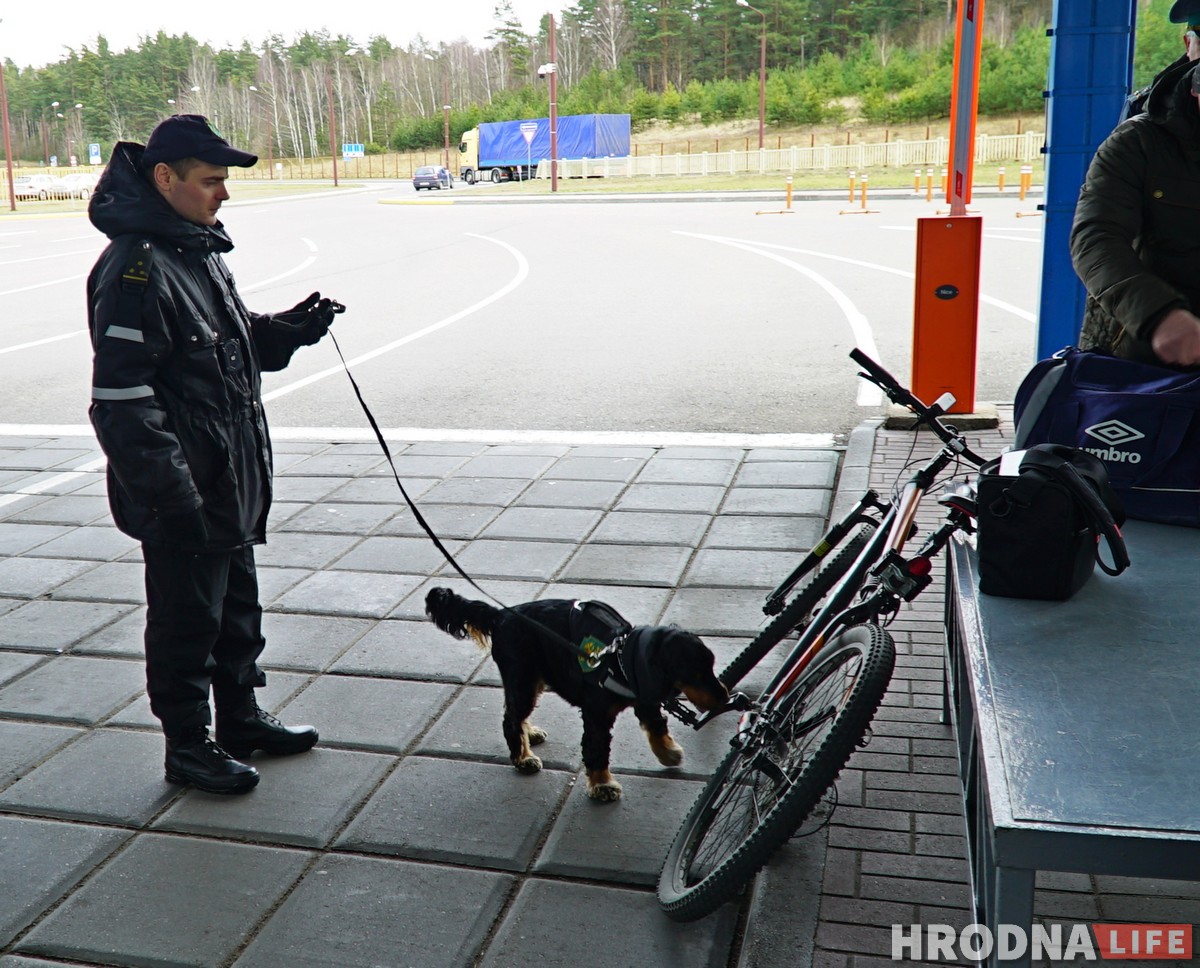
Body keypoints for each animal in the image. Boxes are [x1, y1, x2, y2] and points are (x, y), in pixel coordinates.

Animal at [427, 587, 724, 796]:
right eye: (696, 675)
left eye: (711, 667)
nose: (724, 698)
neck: (619, 657)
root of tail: (502, 615)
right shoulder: (596, 714)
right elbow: (597, 749)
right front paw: (603, 786)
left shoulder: (645, 697)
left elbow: (656, 725)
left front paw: (668, 752)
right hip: (523, 678)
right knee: (511, 717)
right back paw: (523, 758)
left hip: (532, 679)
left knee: (516, 713)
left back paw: (529, 734)